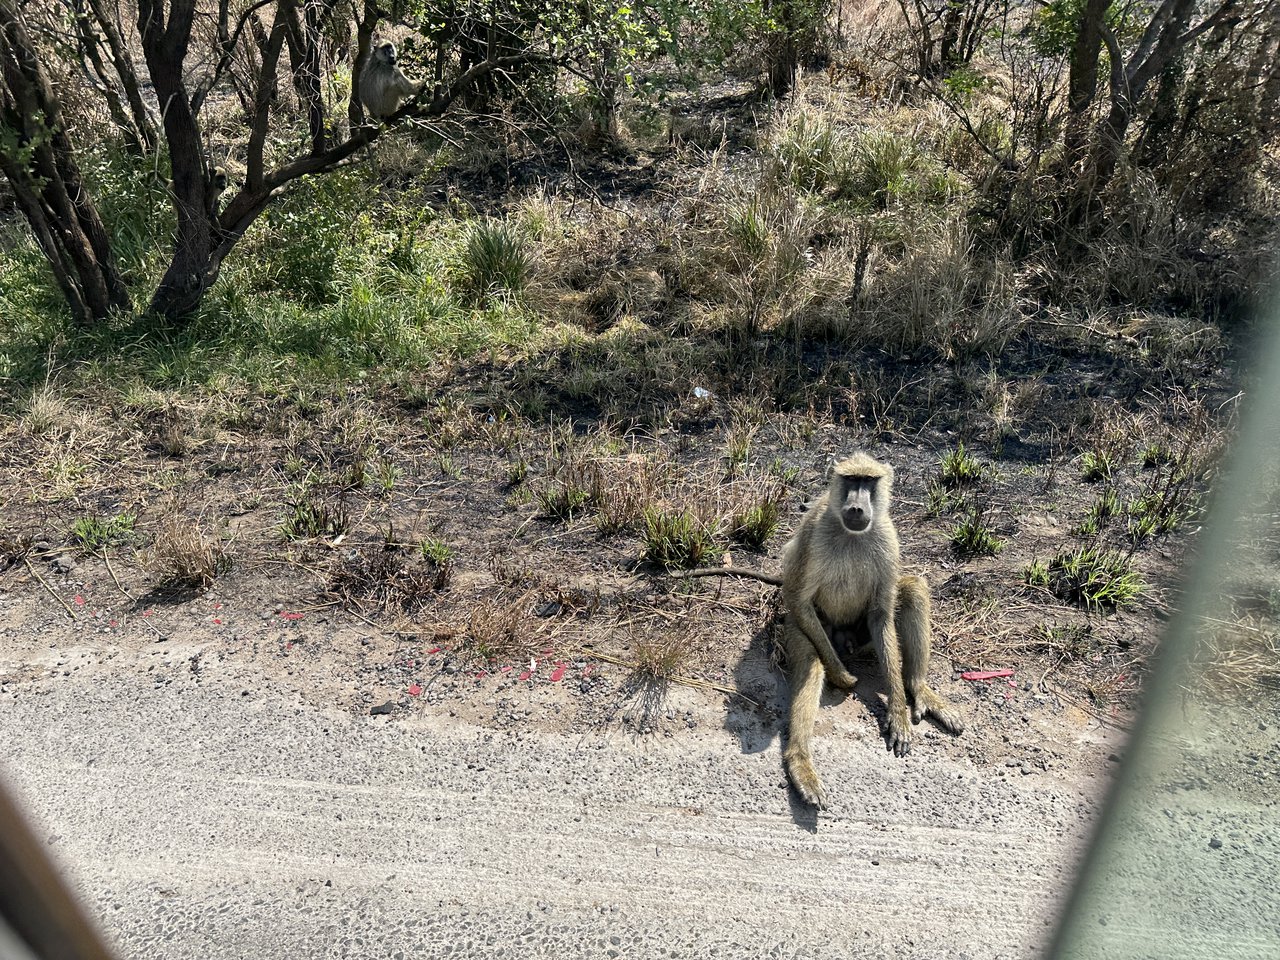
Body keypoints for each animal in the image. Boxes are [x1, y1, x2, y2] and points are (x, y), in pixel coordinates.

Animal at [680, 452, 964, 808]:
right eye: (850, 479)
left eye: (868, 481)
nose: (856, 507)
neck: (851, 534)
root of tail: (846, 642)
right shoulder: (814, 530)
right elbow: (799, 599)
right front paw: (842, 678)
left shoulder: (887, 538)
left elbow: (881, 614)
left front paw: (898, 711)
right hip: (800, 629)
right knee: (812, 660)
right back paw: (800, 763)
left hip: (864, 641)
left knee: (912, 590)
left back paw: (919, 688)